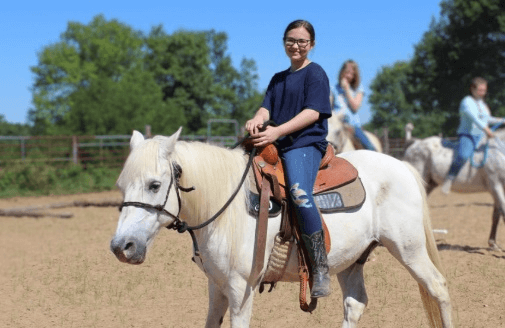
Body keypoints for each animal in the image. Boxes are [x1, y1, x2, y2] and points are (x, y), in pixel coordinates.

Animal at [110, 128, 452, 328]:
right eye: (121, 185)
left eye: (154, 185)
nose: (121, 247)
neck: (225, 206)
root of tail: (401, 165)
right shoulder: (216, 286)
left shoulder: (240, 289)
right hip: (351, 261)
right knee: (354, 305)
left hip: (409, 249)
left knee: (439, 288)